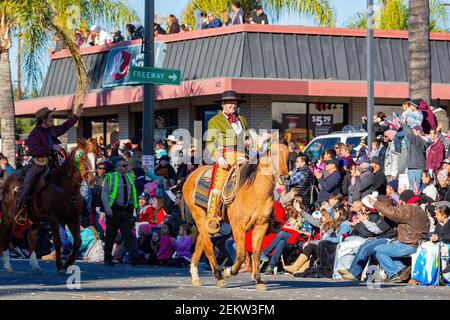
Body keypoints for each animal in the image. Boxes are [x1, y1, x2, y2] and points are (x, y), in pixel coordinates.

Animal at [0, 139, 98, 274]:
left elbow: (78, 242)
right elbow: (57, 242)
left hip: (34, 219)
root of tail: (8, 180)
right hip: (9, 216)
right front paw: (59, 266)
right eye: (83, 158)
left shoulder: (73, 219)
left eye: (96, 157)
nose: (93, 180)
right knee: (6, 235)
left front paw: (67, 264)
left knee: (31, 238)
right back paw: (7, 265)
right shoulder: (54, 219)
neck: (65, 186)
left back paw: (35, 265)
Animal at [182, 138, 290, 290]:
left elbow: (256, 253)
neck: (255, 191)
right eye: (274, 152)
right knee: (208, 245)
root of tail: (191, 175)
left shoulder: (261, 225)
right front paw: (228, 271)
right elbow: (240, 255)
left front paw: (258, 280)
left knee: (200, 242)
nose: (284, 177)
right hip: (200, 216)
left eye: (288, 153)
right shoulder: (238, 226)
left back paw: (196, 276)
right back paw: (219, 276)